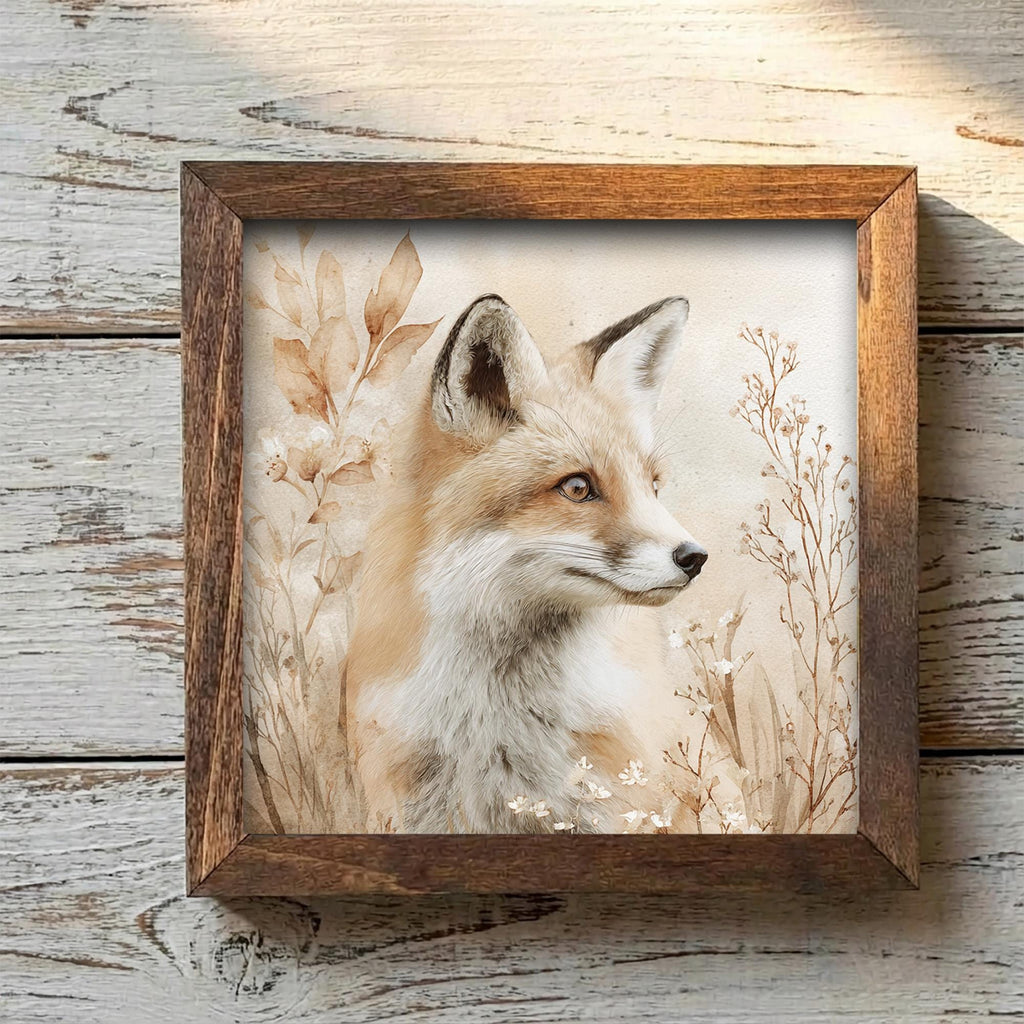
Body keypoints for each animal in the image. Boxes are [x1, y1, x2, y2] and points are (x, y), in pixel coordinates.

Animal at [343, 293, 707, 833]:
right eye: (577, 488)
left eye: (653, 486)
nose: (694, 557)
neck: (496, 714)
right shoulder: (406, 802)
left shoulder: (618, 799)